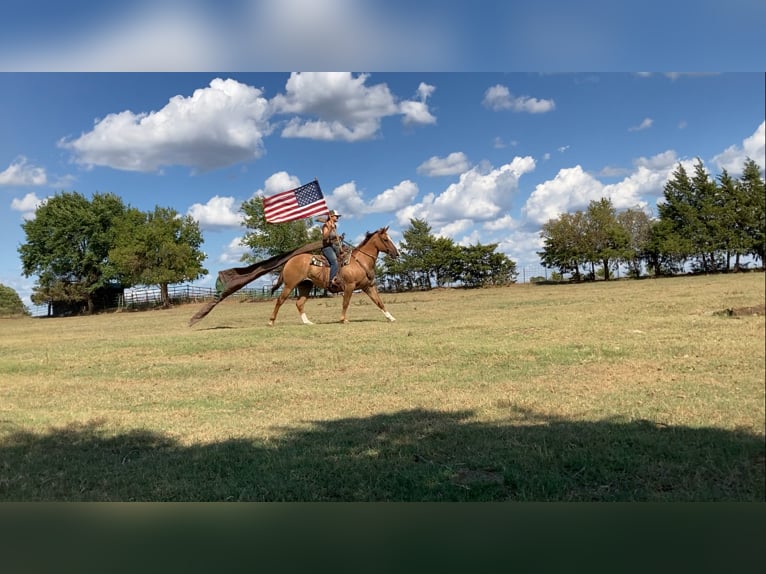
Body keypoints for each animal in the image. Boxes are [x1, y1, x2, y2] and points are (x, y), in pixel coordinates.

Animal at [268, 226, 399, 326]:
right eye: (385, 239)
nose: (396, 254)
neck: (359, 261)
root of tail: (290, 260)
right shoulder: (349, 286)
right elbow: (345, 303)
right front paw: (343, 319)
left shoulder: (368, 286)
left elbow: (379, 302)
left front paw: (391, 318)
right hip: (290, 285)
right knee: (280, 300)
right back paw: (271, 321)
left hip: (305, 285)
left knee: (299, 303)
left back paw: (307, 322)